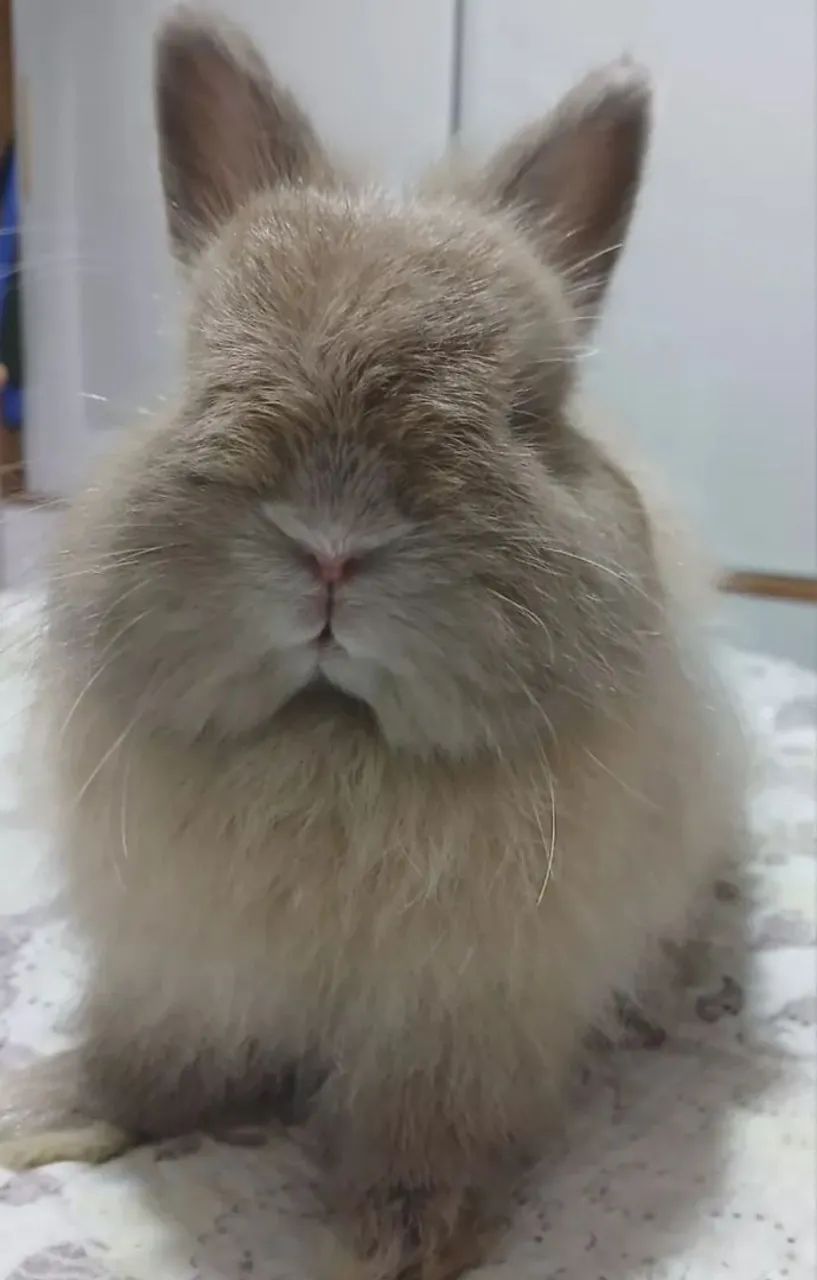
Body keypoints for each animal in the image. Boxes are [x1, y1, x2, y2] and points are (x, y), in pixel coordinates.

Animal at [0, 9, 745, 1278]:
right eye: (203, 372)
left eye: (528, 411)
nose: (333, 544)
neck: (331, 746)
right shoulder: (175, 968)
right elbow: (148, 1064)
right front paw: (38, 1110)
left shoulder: (466, 1019)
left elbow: (428, 1123)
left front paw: (404, 1232)